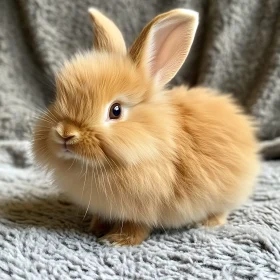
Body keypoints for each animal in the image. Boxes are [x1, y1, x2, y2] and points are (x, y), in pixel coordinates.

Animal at [33, 7, 260, 246]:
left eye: (115, 110)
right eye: (57, 98)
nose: (65, 134)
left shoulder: (142, 208)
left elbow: (135, 226)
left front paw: (118, 240)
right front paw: (96, 227)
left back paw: (209, 223)